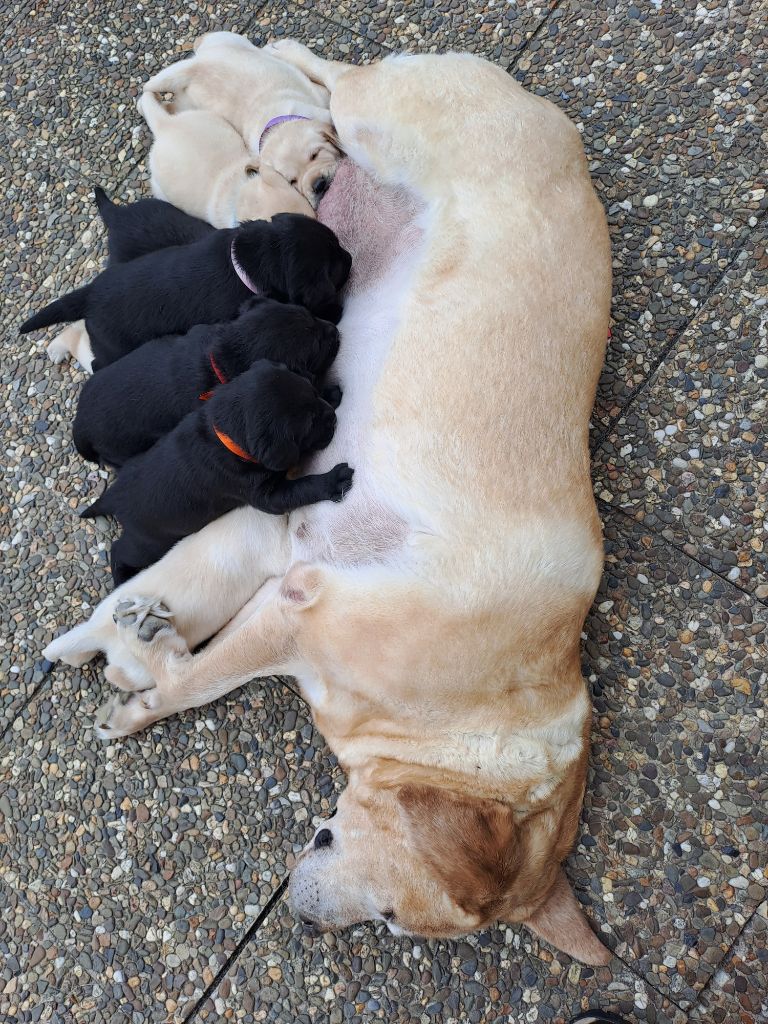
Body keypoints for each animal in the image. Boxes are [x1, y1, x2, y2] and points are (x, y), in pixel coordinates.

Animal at [80, 358, 352, 585]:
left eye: (312, 391)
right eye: (309, 425)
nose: (332, 418)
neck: (226, 435)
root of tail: (115, 495)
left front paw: (330, 393)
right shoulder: (265, 496)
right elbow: (302, 488)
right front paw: (333, 481)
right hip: (148, 543)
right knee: (119, 550)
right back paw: (121, 580)